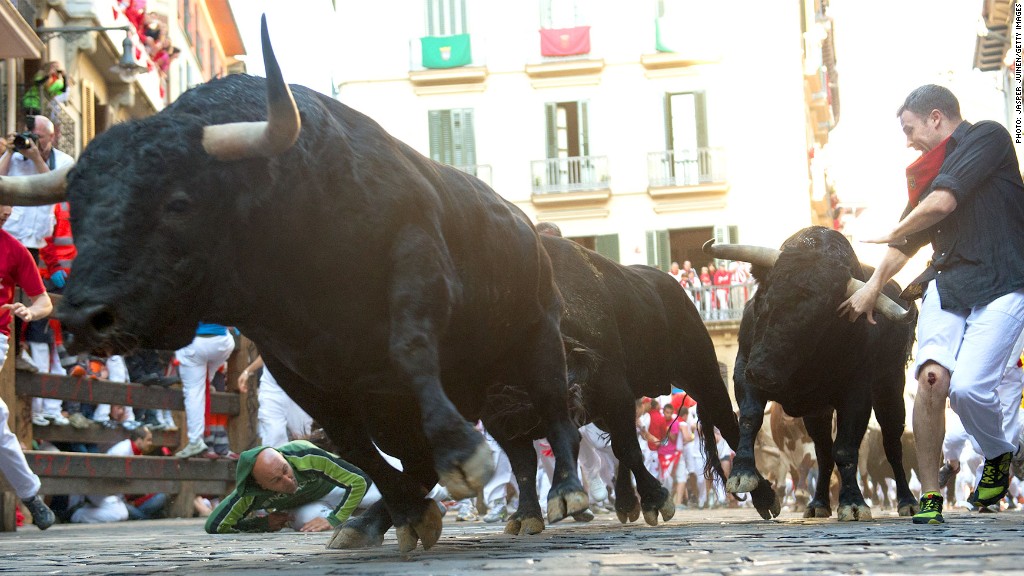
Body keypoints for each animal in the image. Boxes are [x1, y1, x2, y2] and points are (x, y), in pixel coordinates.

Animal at [4, 19, 589, 553]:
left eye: (179, 202)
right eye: (77, 210)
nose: (81, 318)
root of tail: (525, 229)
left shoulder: (416, 257)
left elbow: (411, 348)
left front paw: (461, 455)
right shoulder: (297, 364)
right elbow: (353, 446)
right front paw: (405, 513)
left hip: (538, 339)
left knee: (556, 416)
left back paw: (565, 494)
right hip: (470, 394)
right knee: (498, 450)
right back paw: (415, 518)